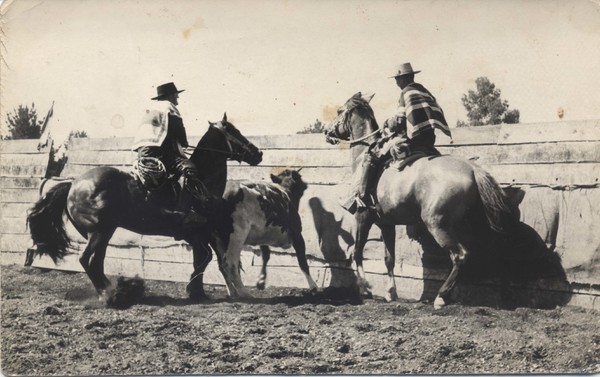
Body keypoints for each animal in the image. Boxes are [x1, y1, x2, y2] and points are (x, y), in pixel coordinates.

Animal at [27, 114, 262, 300]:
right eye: (235, 131)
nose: (258, 153)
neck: (202, 182)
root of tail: (73, 184)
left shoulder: (200, 235)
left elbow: (202, 260)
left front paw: (197, 292)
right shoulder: (196, 233)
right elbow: (203, 260)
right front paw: (194, 291)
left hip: (104, 232)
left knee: (97, 261)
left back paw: (115, 290)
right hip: (98, 231)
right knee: (87, 260)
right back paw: (110, 294)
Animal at [324, 92, 516, 308]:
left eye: (339, 111)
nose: (326, 131)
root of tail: (472, 169)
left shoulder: (363, 218)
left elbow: (356, 252)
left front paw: (366, 287)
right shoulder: (387, 224)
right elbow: (389, 258)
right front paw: (390, 293)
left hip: (437, 224)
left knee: (460, 255)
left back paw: (441, 297)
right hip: (466, 224)